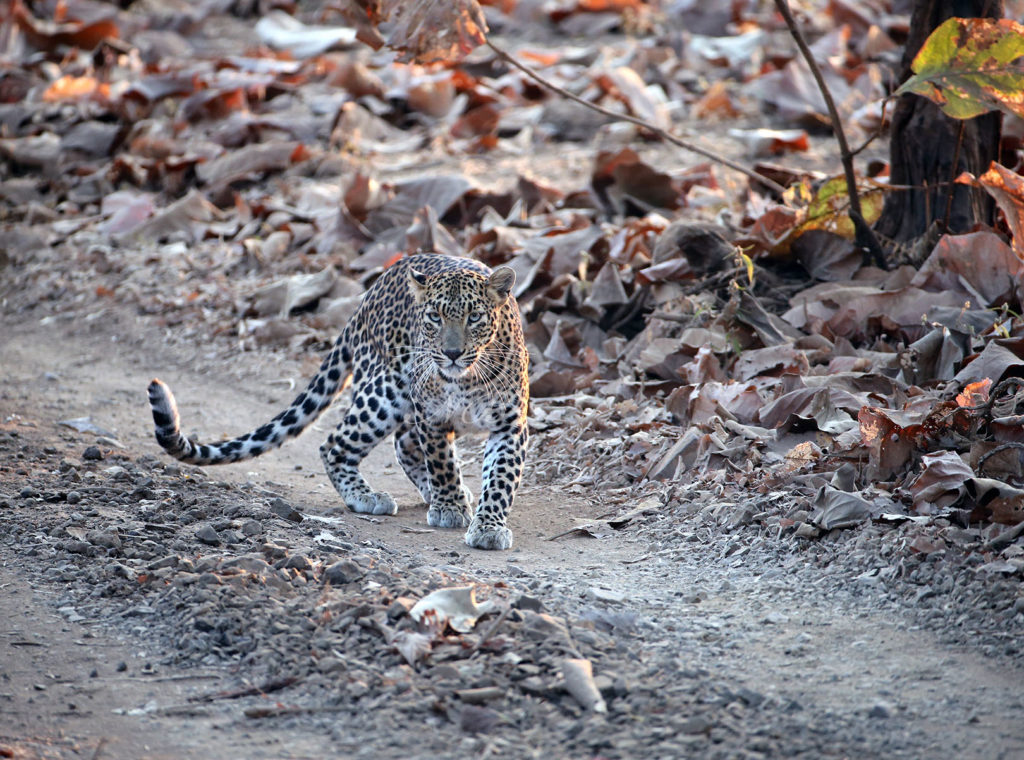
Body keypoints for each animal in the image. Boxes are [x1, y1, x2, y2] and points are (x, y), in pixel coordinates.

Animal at [149, 252, 532, 549]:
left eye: (474, 317)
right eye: (434, 318)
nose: (452, 353)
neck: (467, 378)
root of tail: (369, 293)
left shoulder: (509, 424)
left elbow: (500, 478)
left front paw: (488, 526)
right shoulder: (431, 415)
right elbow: (442, 464)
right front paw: (450, 507)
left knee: (403, 442)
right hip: (386, 390)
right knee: (336, 443)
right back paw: (367, 496)